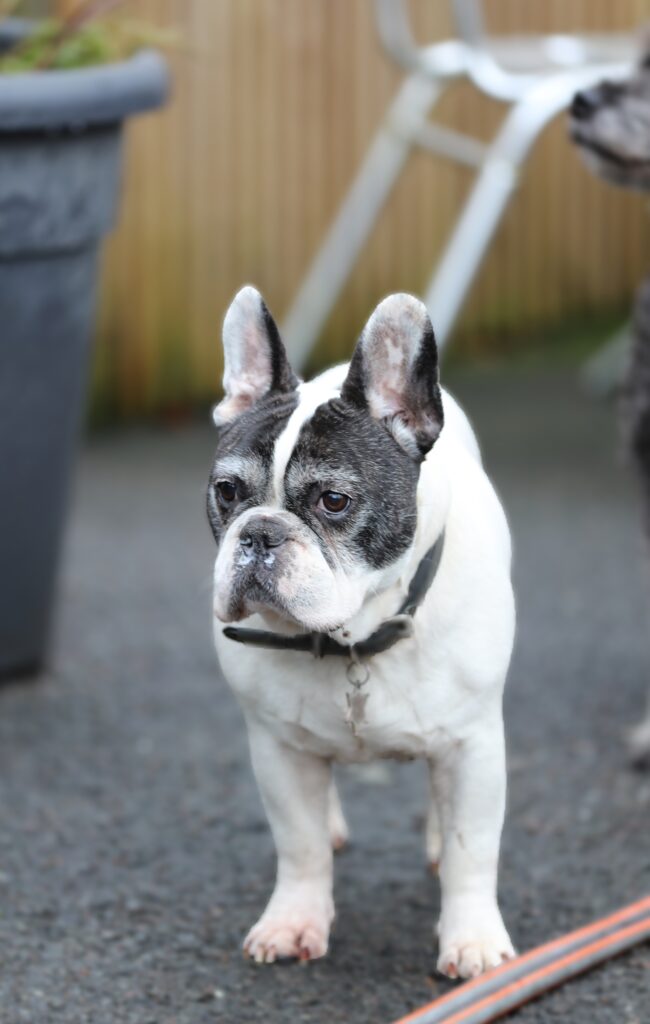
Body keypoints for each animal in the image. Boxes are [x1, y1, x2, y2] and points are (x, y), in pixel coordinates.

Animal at [207, 286, 516, 977]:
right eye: (227, 491)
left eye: (334, 502)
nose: (260, 533)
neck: (352, 638)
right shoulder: (277, 749)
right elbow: (299, 845)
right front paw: (293, 920)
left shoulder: (475, 745)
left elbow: (472, 849)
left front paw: (473, 940)